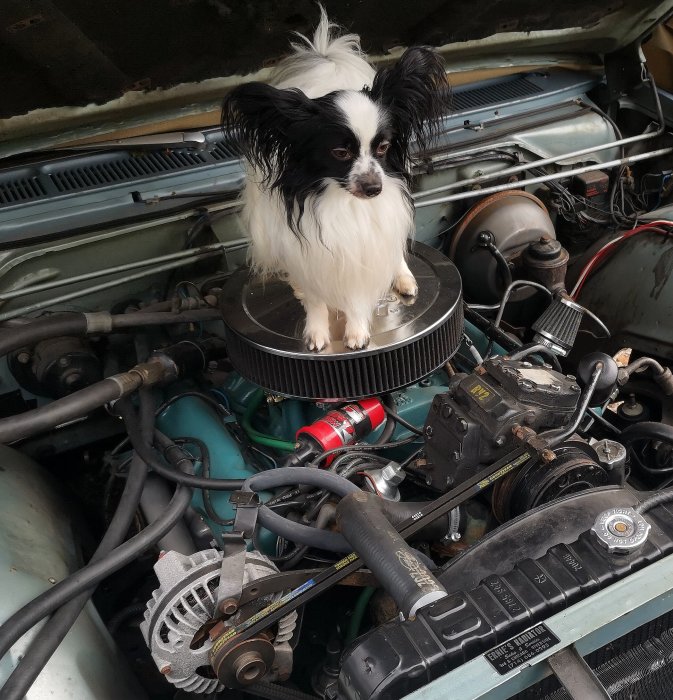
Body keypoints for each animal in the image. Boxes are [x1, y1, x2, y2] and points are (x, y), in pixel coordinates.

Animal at [223, 7, 448, 350]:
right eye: (340, 153)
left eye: (383, 147)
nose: (374, 188)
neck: (343, 202)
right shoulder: (307, 249)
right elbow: (315, 297)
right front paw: (316, 330)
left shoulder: (364, 243)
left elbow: (359, 291)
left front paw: (356, 331)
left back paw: (403, 277)